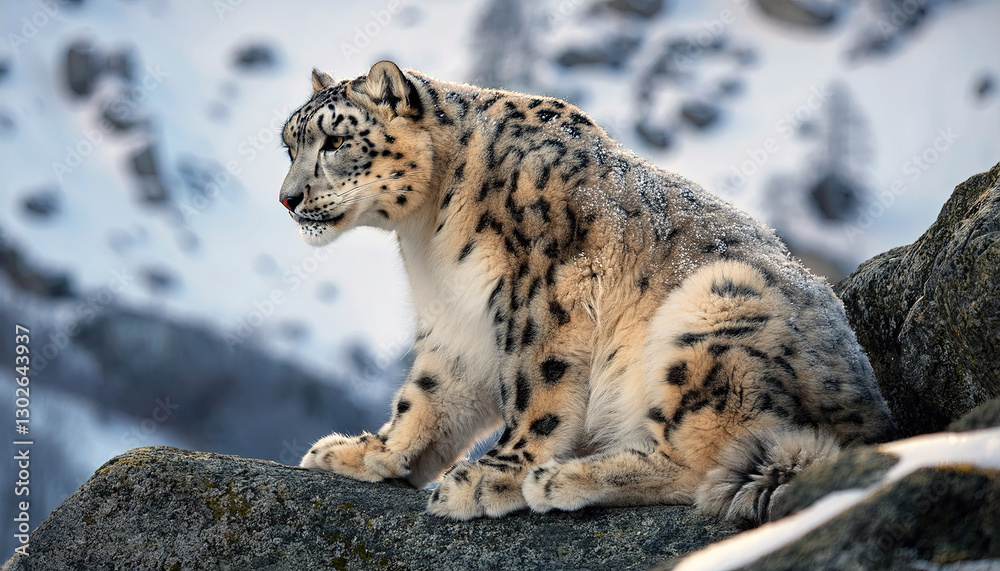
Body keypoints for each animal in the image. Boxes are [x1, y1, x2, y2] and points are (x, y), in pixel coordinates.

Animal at [280, 60, 894, 524]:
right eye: (290, 144)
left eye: (335, 140)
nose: (287, 198)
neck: (429, 234)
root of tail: (872, 418)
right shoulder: (457, 316)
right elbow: (428, 392)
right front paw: (367, 451)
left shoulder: (539, 287)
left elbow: (535, 384)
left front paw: (493, 475)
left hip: (717, 307)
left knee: (707, 460)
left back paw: (561, 478)